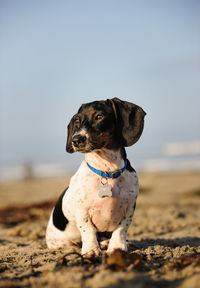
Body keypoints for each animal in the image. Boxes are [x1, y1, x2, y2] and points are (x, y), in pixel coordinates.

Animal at [45, 97, 145, 256]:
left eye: (99, 116)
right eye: (77, 120)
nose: (76, 140)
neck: (107, 171)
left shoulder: (129, 207)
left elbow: (121, 229)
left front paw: (117, 247)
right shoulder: (82, 211)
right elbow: (88, 230)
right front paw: (91, 251)